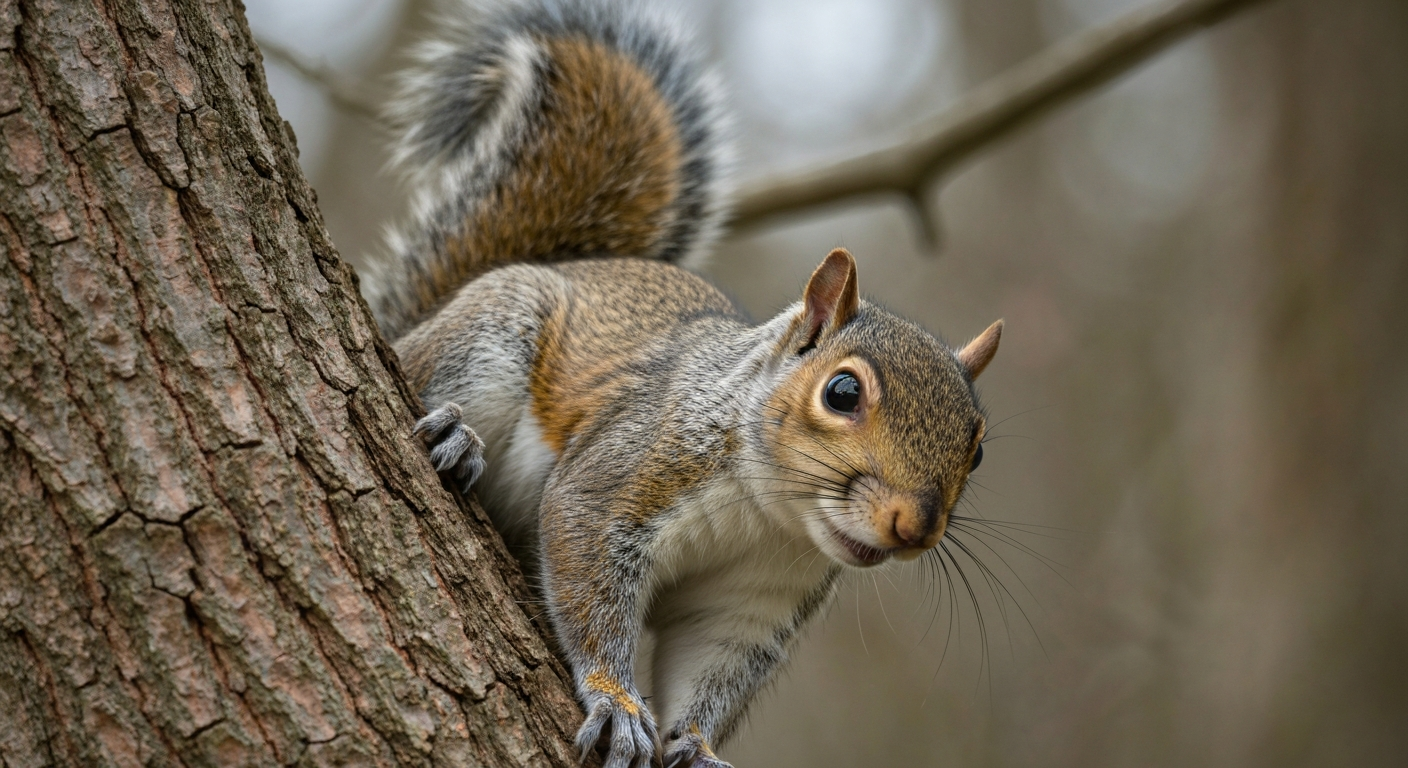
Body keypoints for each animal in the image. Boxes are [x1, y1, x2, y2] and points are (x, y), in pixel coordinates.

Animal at [363, 1, 1004, 766]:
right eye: (842, 393)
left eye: (978, 449)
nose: (915, 527)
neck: (768, 514)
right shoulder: (627, 471)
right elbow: (589, 577)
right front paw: (616, 700)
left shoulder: (752, 602)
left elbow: (712, 665)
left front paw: (696, 745)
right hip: (493, 331)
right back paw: (456, 435)